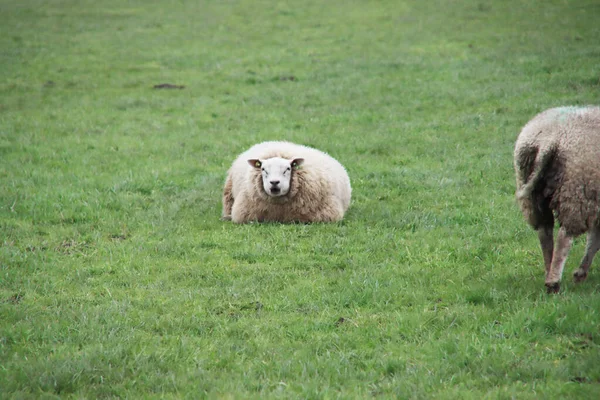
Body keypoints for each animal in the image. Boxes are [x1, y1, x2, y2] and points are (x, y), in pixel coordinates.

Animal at [512, 105, 600, 294]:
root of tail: (549, 141)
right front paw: (580, 272)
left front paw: (580, 273)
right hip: (577, 191)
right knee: (563, 237)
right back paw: (553, 282)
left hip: (533, 193)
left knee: (544, 232)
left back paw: (549, 271)